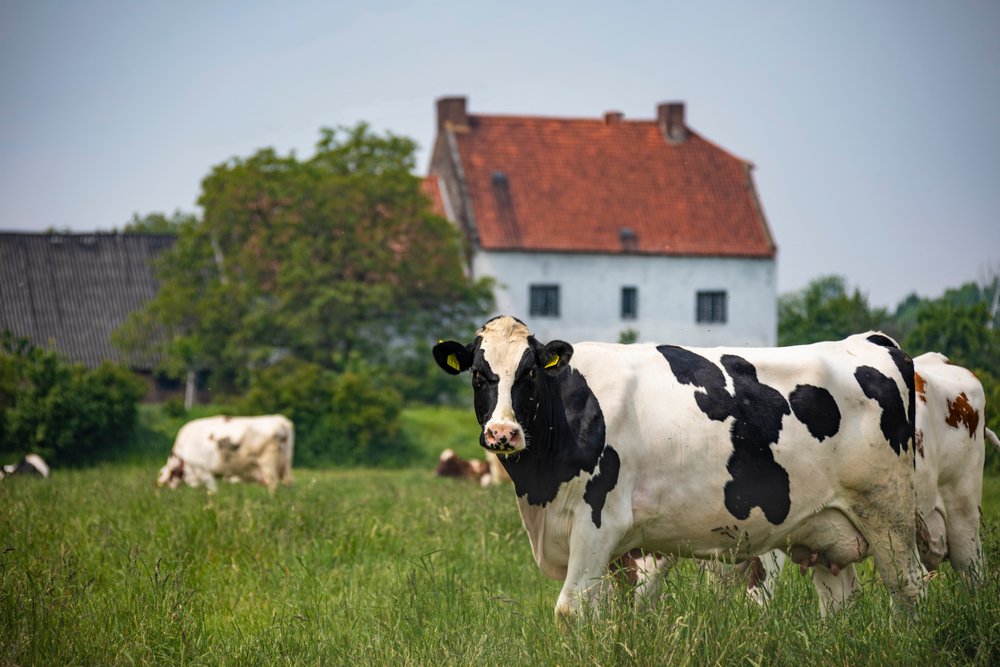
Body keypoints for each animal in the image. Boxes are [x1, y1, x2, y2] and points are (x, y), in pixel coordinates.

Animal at [157, 415, 294, 493]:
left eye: (160, 474)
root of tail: (280, 420)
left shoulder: (202, 469)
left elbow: (213, 489)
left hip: (268, 466)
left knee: (273, 487)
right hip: (284, 467)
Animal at [433, 317, 924, 622]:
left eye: (530, 373)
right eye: (478, 375)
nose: (503, 433)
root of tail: (871, 341)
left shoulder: (598, 523)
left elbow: (572, 611)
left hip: (889, 514)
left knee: (909, 591)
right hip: (826, 528)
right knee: (841, 605)